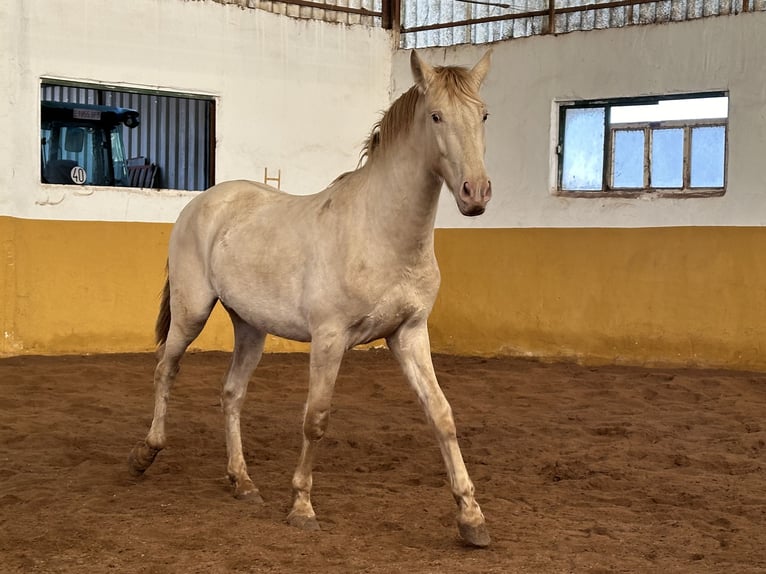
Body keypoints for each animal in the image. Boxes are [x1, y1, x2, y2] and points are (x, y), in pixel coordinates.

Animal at [129, 50, 496, 548]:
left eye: (483, 115)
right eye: (436, 116)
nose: (475, 193)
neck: (381, 231)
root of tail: (201, 203)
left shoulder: (409, 334)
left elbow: (441, 414)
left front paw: (471, 518)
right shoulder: (329, 338)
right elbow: (316, 419)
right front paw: (302, 506)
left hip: (250, 327)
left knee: (232, 393)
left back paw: (243, 482)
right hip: (192, 313)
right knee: (165, 370)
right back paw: (145, 454)